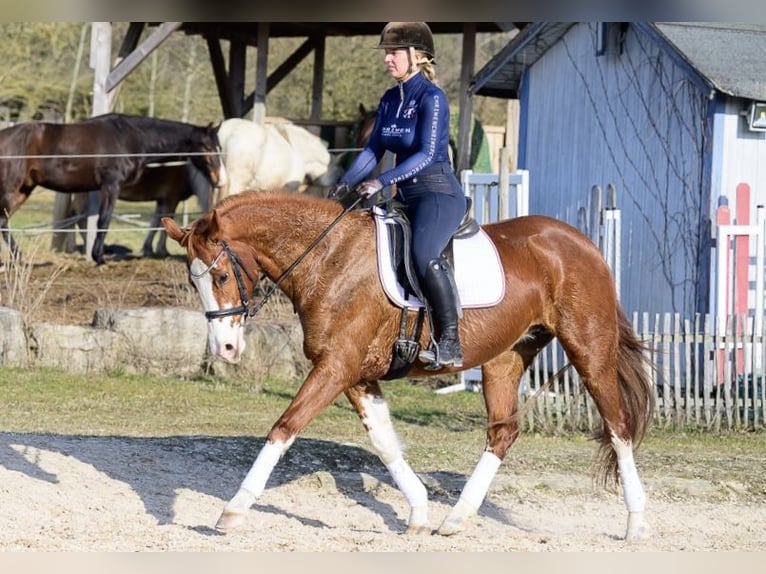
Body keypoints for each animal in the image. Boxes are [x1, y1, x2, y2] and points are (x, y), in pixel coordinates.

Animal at [0, 113, 226, 266]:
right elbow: (104, 221)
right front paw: (99, 257)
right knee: (3, 222)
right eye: (206, 147)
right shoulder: (111, 185)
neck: (130, 137)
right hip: (12, 188)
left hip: (24, 189)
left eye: (220, 147)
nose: (220, 179)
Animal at [165, 191, 656, 544]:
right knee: (502, 433)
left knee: (618, 426)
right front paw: (419, 512)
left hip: (589, 352)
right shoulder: (356, 375)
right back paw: (456, 518)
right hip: (505, 358)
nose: (226, 348)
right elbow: (385, 444)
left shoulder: (336, 367)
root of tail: (580, 242)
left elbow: (284, 428)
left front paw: (234, 508)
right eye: (192, 279)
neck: (330, 257)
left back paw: (636, 523)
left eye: (221, 276)